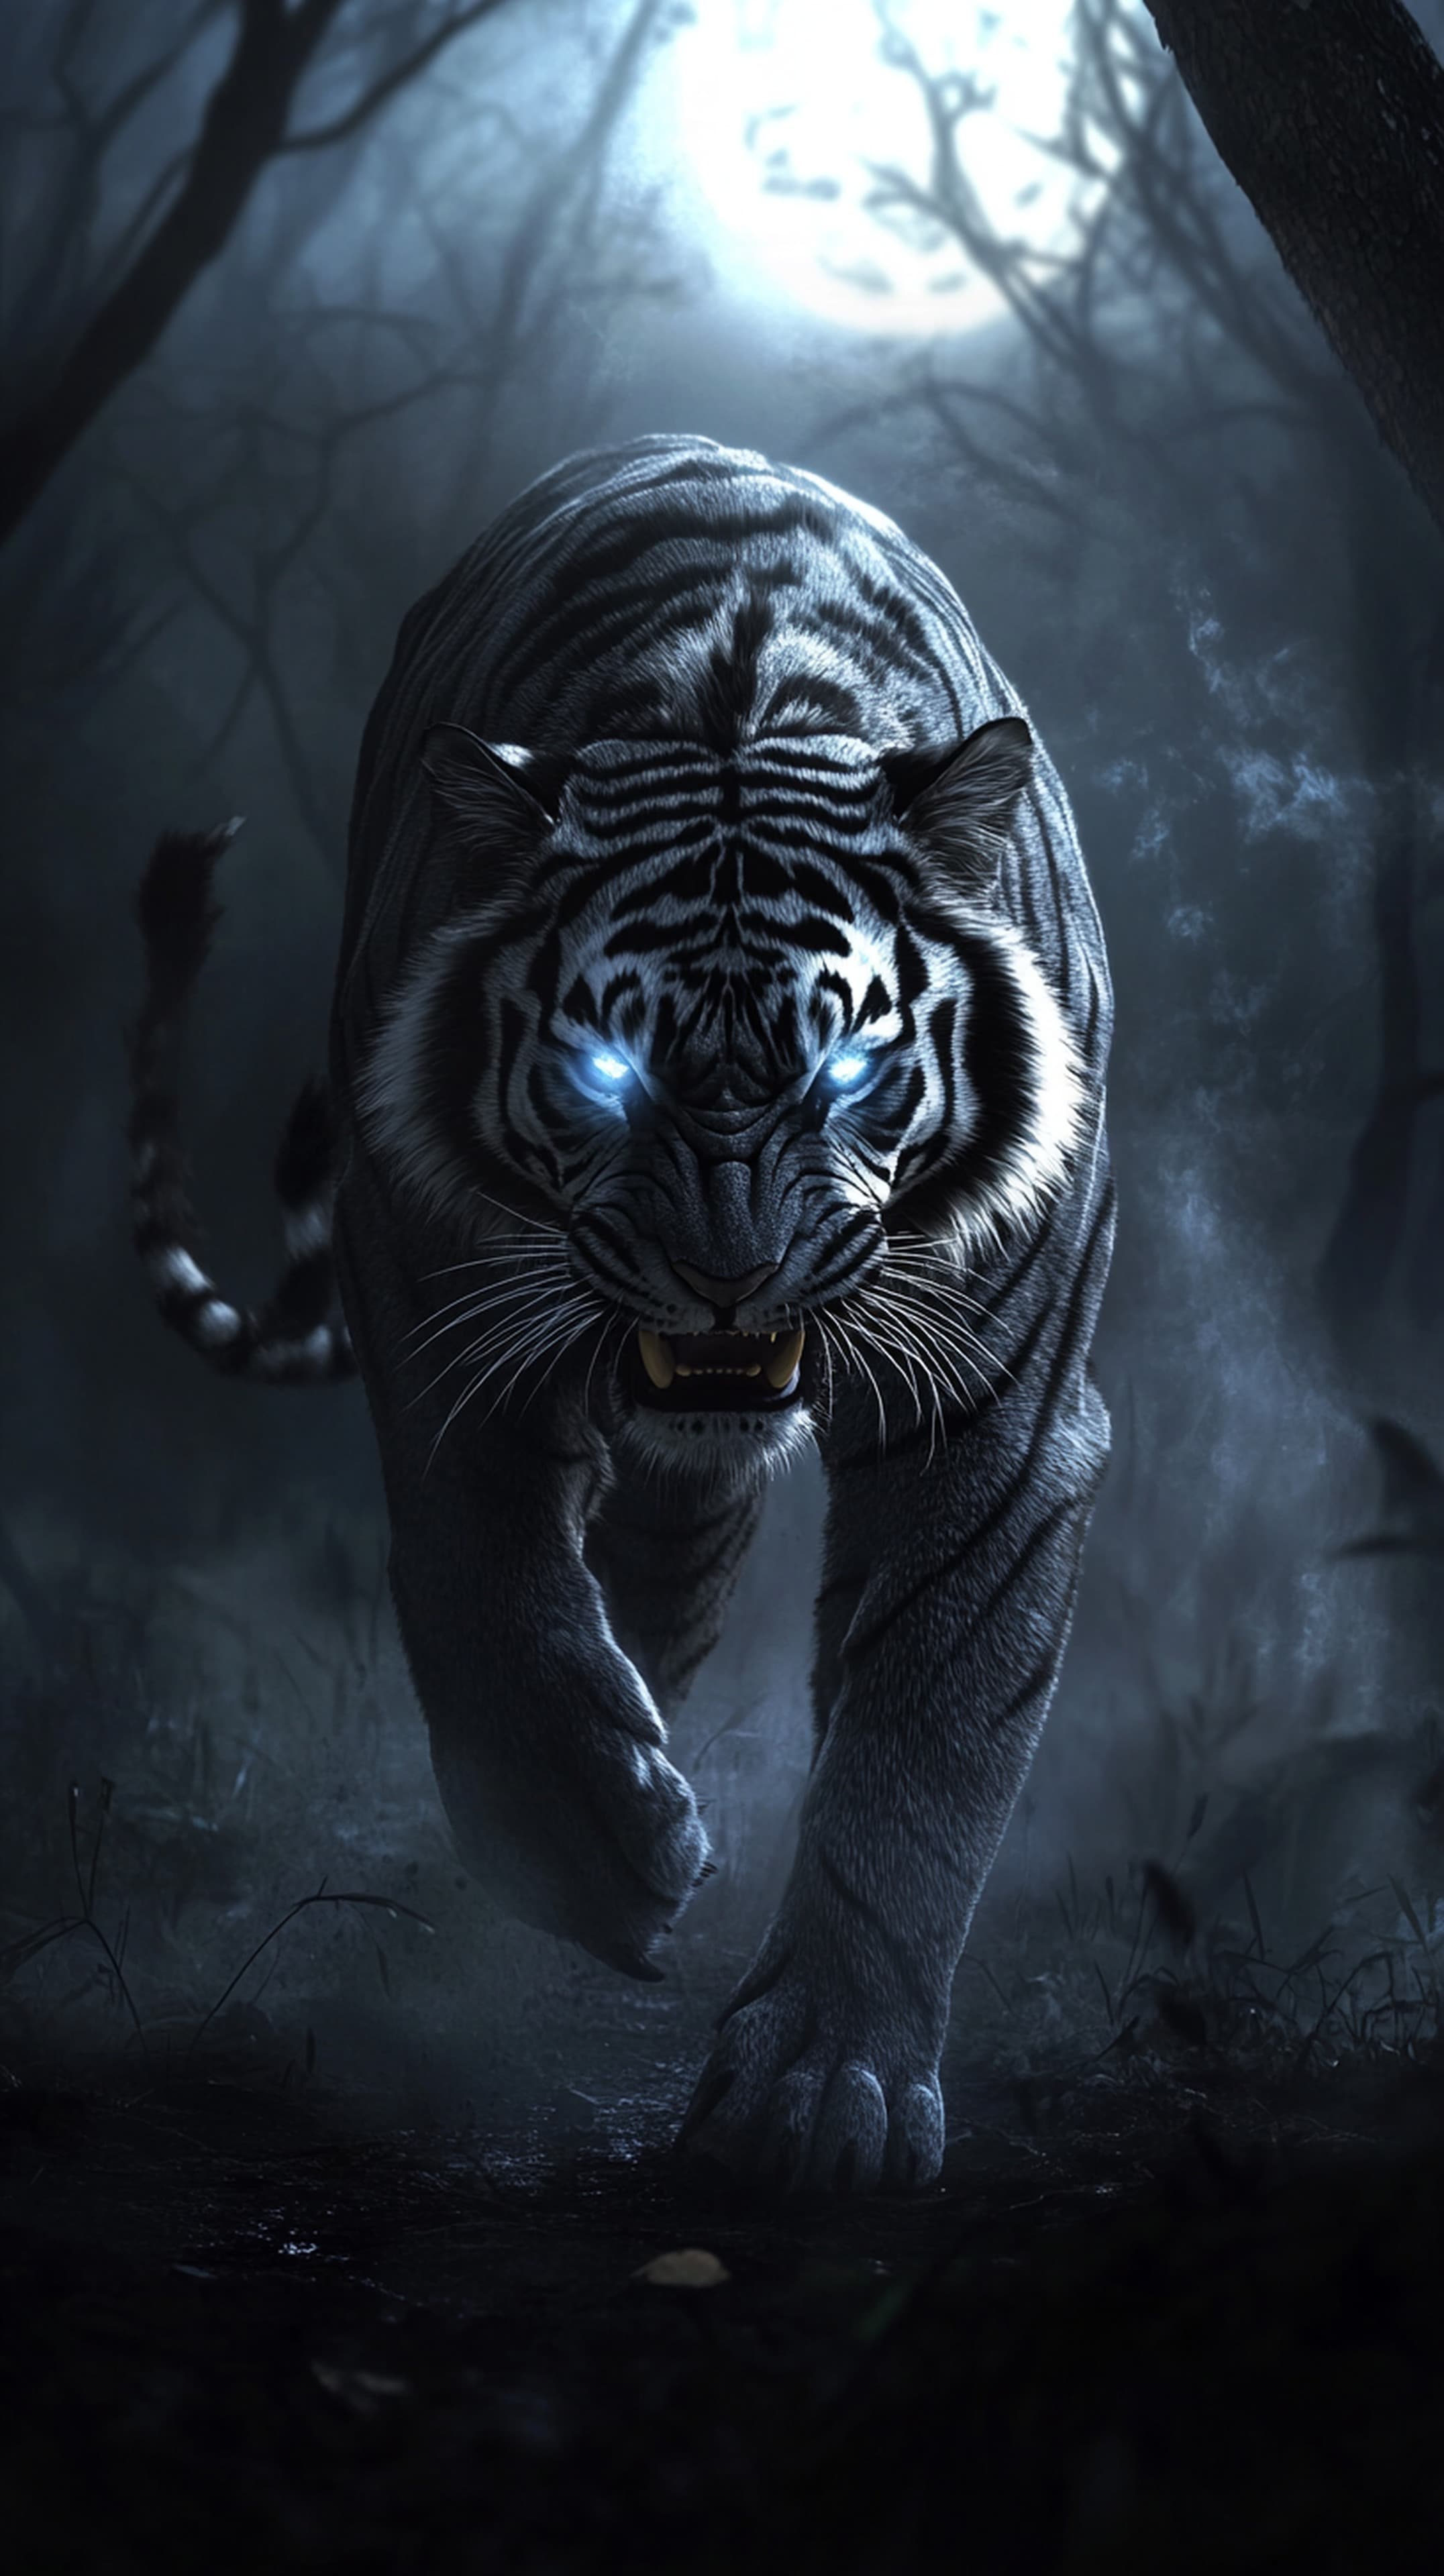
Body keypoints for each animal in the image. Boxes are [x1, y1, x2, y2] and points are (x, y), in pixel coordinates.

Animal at [130, 435, 1114, 2195]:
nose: (729, 1276)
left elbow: (925, 1726)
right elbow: (483, 1584)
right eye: (604, 1063)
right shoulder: (426, 1284)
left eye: (846, 1061)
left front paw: (827, 2082)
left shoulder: (998, 1406)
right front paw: (592, 1844)